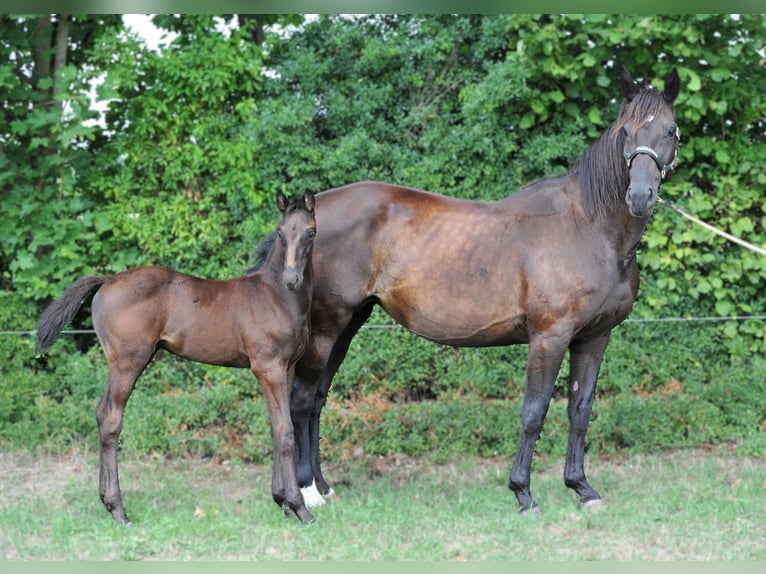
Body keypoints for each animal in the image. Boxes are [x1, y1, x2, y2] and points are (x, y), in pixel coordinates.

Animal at [35, 191, 318, 524]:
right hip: (129, 362)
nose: (291, 278)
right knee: (111, 421)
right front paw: (299, 508)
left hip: (120, 364)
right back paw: (119, 510)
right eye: (281, 232)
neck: (276, 297)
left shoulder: (287, 368)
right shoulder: (268, 368)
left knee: (100, 413)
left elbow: (277, 428)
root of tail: (108, 280)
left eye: (310, 232)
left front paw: (283, 501)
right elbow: (286, 432)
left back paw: (106, 502)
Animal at [294, 66, 684, 512]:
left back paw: (323, 487)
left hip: (347, 325)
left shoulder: (594, 338)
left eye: (670, 130)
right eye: (625, 132)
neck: (590, 226)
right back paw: (305, 491)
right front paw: (523, 493)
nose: (640, 196)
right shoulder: (549, 337)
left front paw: (582, 488)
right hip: (325, 328)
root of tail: (310, 217)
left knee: (317, 399)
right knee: (301, 400)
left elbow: (580, 410)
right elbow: (534, 412)